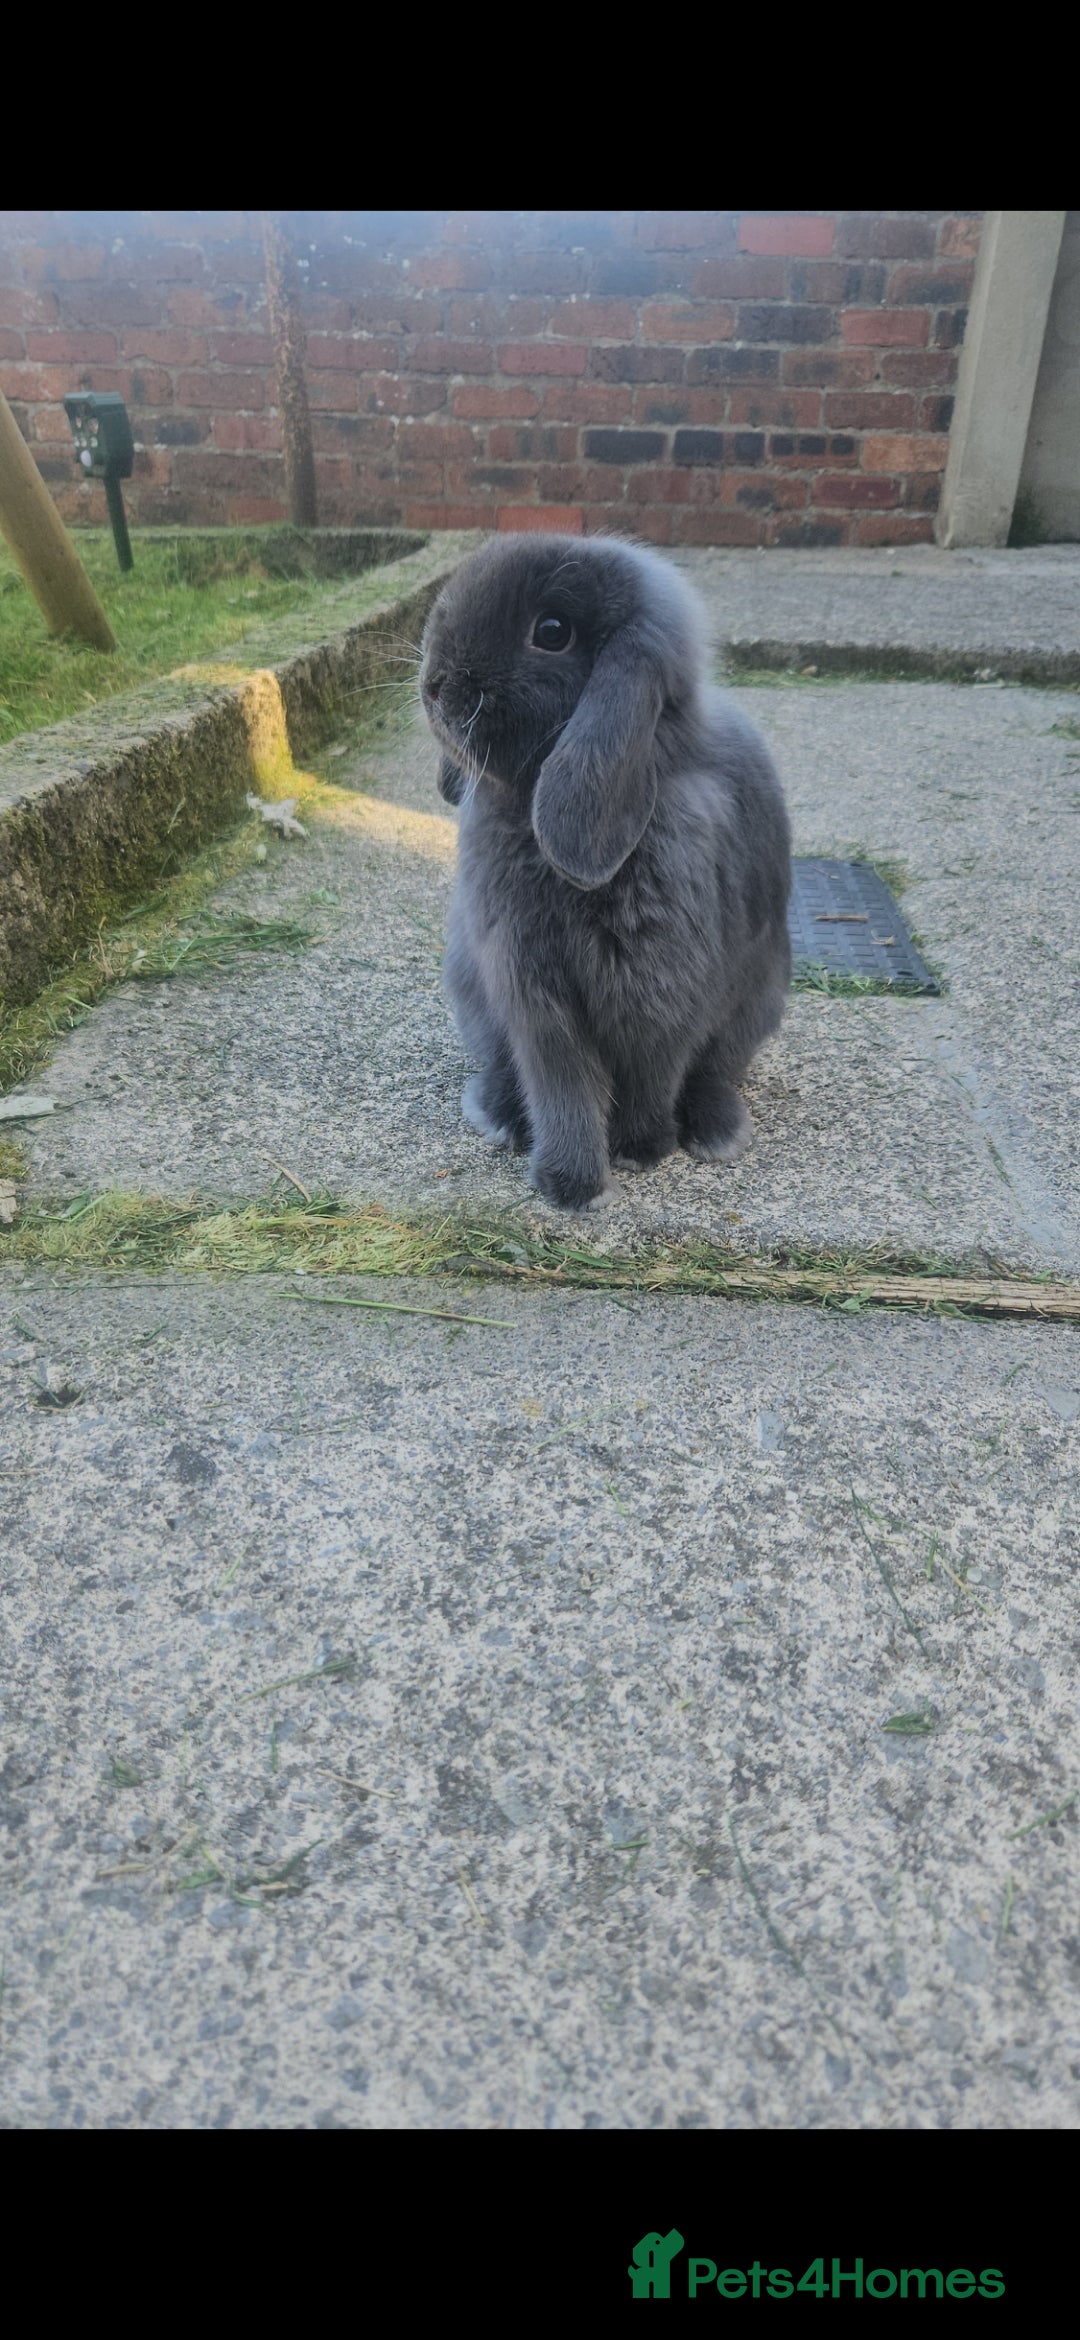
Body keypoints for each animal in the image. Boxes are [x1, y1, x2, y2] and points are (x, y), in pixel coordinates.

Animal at [419, 531, 792, 1212]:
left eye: (553, 631)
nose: (433, 685)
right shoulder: (534, 995)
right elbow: (562, 1089)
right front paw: (571, 1185)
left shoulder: (663, 996)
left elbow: (653, 1074)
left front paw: (641, 1149)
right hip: (471, 992)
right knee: (503, 1068)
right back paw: (497, 1114)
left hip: (755, 1008)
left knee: (712, 1073)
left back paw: (717, 1131)